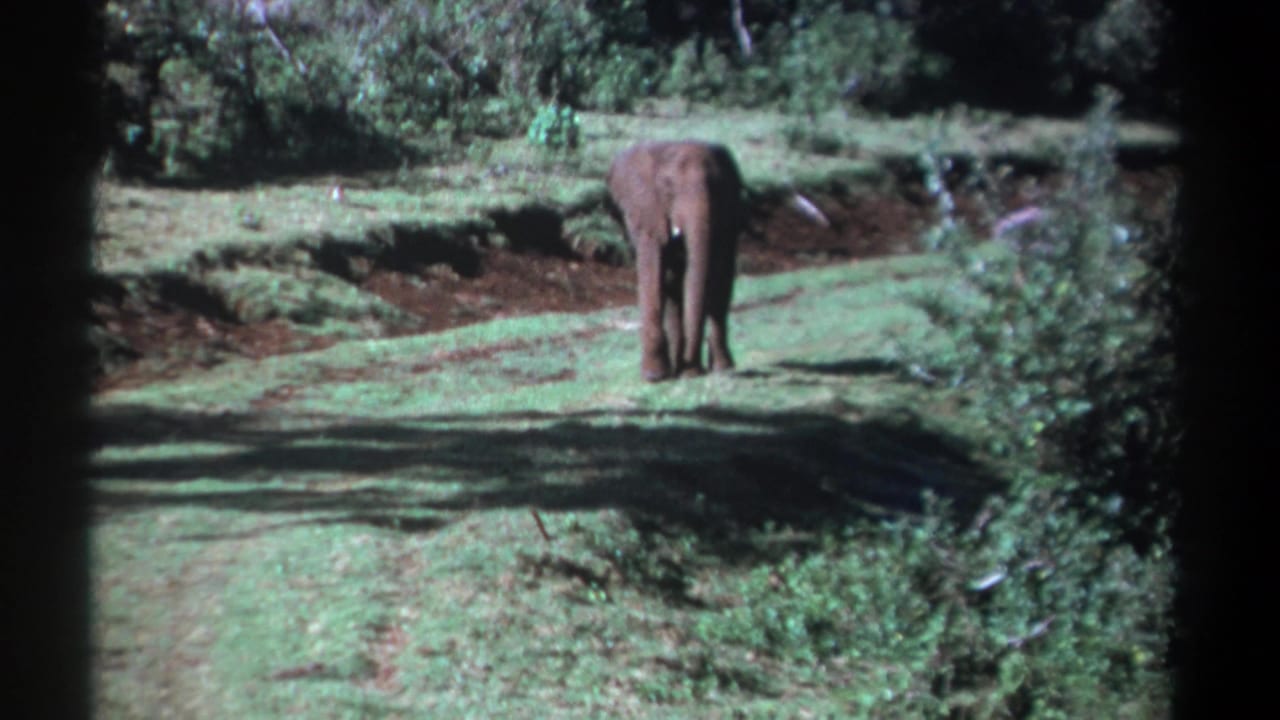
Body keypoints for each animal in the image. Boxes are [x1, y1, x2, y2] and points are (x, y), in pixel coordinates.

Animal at [605, 141, 746, 381]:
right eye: (668, 189)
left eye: (718, 188)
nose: (695, 369)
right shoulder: (647, 211)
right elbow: (654, 267)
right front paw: (655, 376)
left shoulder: (729, 215)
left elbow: (720, 276)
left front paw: (704, 370)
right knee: (672, 283)